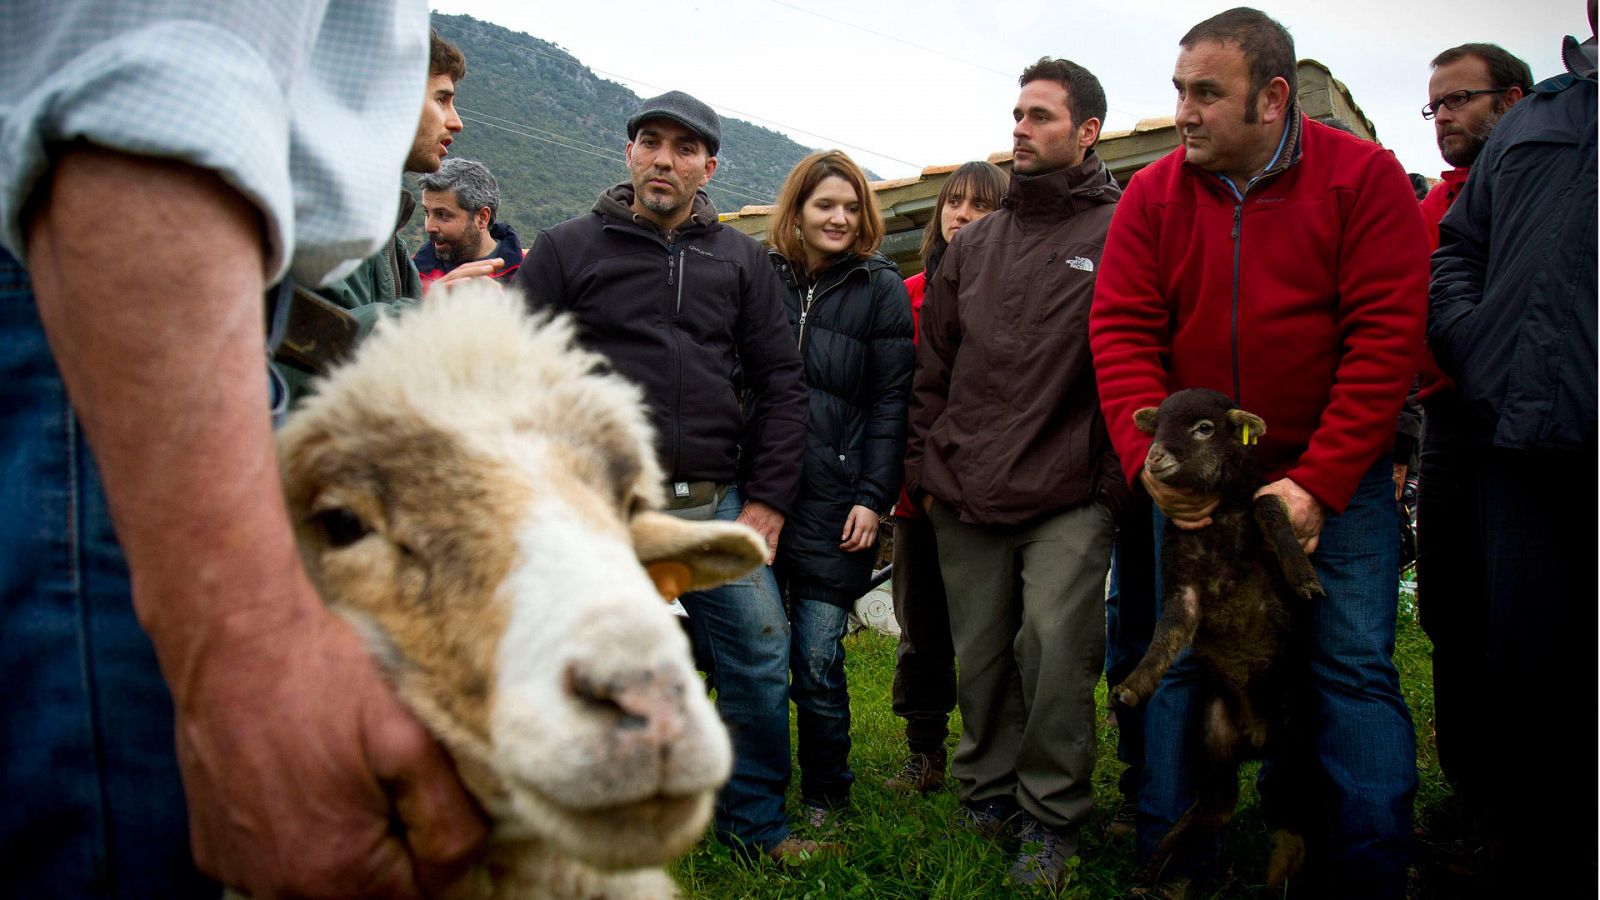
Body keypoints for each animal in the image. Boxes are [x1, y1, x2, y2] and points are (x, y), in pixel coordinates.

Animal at [1113, 387, 1324, 890]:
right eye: (1158, 424)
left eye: (1203, 428)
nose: (1153, 456)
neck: (1217, 527)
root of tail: (1259, 737)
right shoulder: (1184, 589)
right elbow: (1166, 635)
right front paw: (1132, 687)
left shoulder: (1258, 517)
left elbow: (1270, 506)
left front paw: (1305, 577)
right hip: (1213, 739)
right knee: (1216, 806)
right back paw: (1154, 866)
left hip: (1297, 742)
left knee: (1298, 821)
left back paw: (1279, 879)